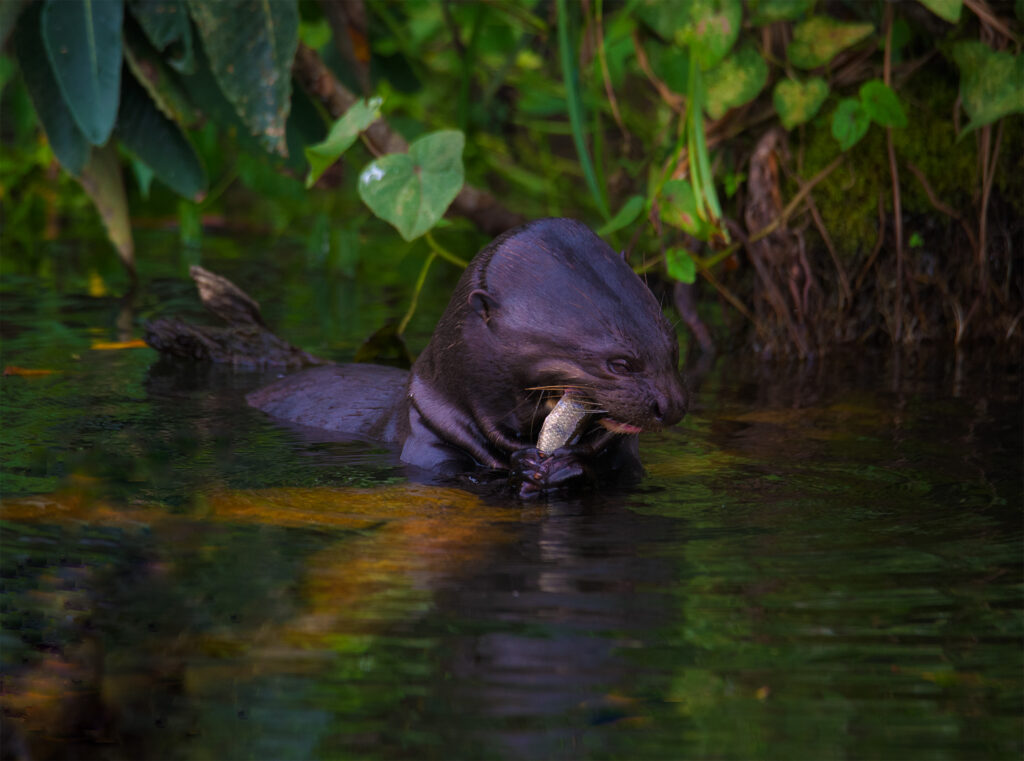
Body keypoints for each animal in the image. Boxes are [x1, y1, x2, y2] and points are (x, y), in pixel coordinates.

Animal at [245, 218, 688, 497]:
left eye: (671, 344)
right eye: (620, 363)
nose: (672, 405)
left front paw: (569, 467)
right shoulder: (427, 429)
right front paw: (526, 467)